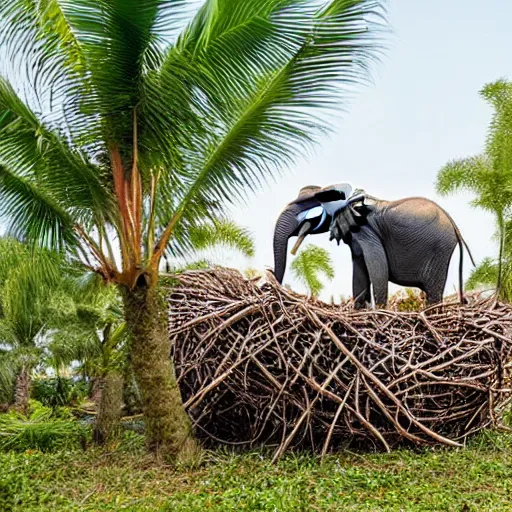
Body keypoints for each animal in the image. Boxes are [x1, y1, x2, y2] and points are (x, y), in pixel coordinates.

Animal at [274, 184, 474, 308]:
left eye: (309, 203)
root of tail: (455, 227)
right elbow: (359, 271)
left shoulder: (366, 231)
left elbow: (378, 269)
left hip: (439, 248)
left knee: (433, 292)